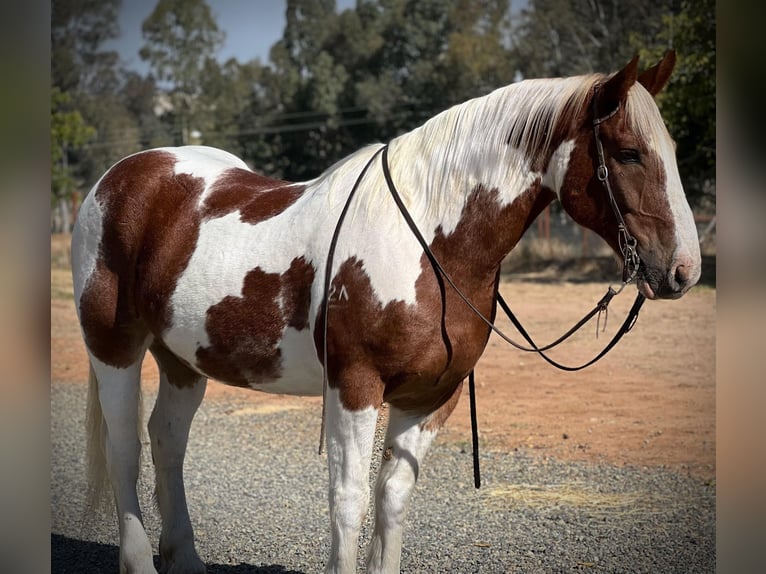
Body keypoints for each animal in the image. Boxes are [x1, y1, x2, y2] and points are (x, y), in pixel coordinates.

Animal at [72, 51, 704, 572]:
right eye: (628, 153)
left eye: (672, 153)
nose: (684, 271)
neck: (431, 243)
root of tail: (121, 176)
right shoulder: (355, 387)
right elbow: (348, 501)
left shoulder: (431, 396)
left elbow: (392, 497)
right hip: (115, 348)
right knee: (125, 450)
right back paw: (140, 561)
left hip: (183, 359)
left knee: (166, 441)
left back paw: (185, 558)